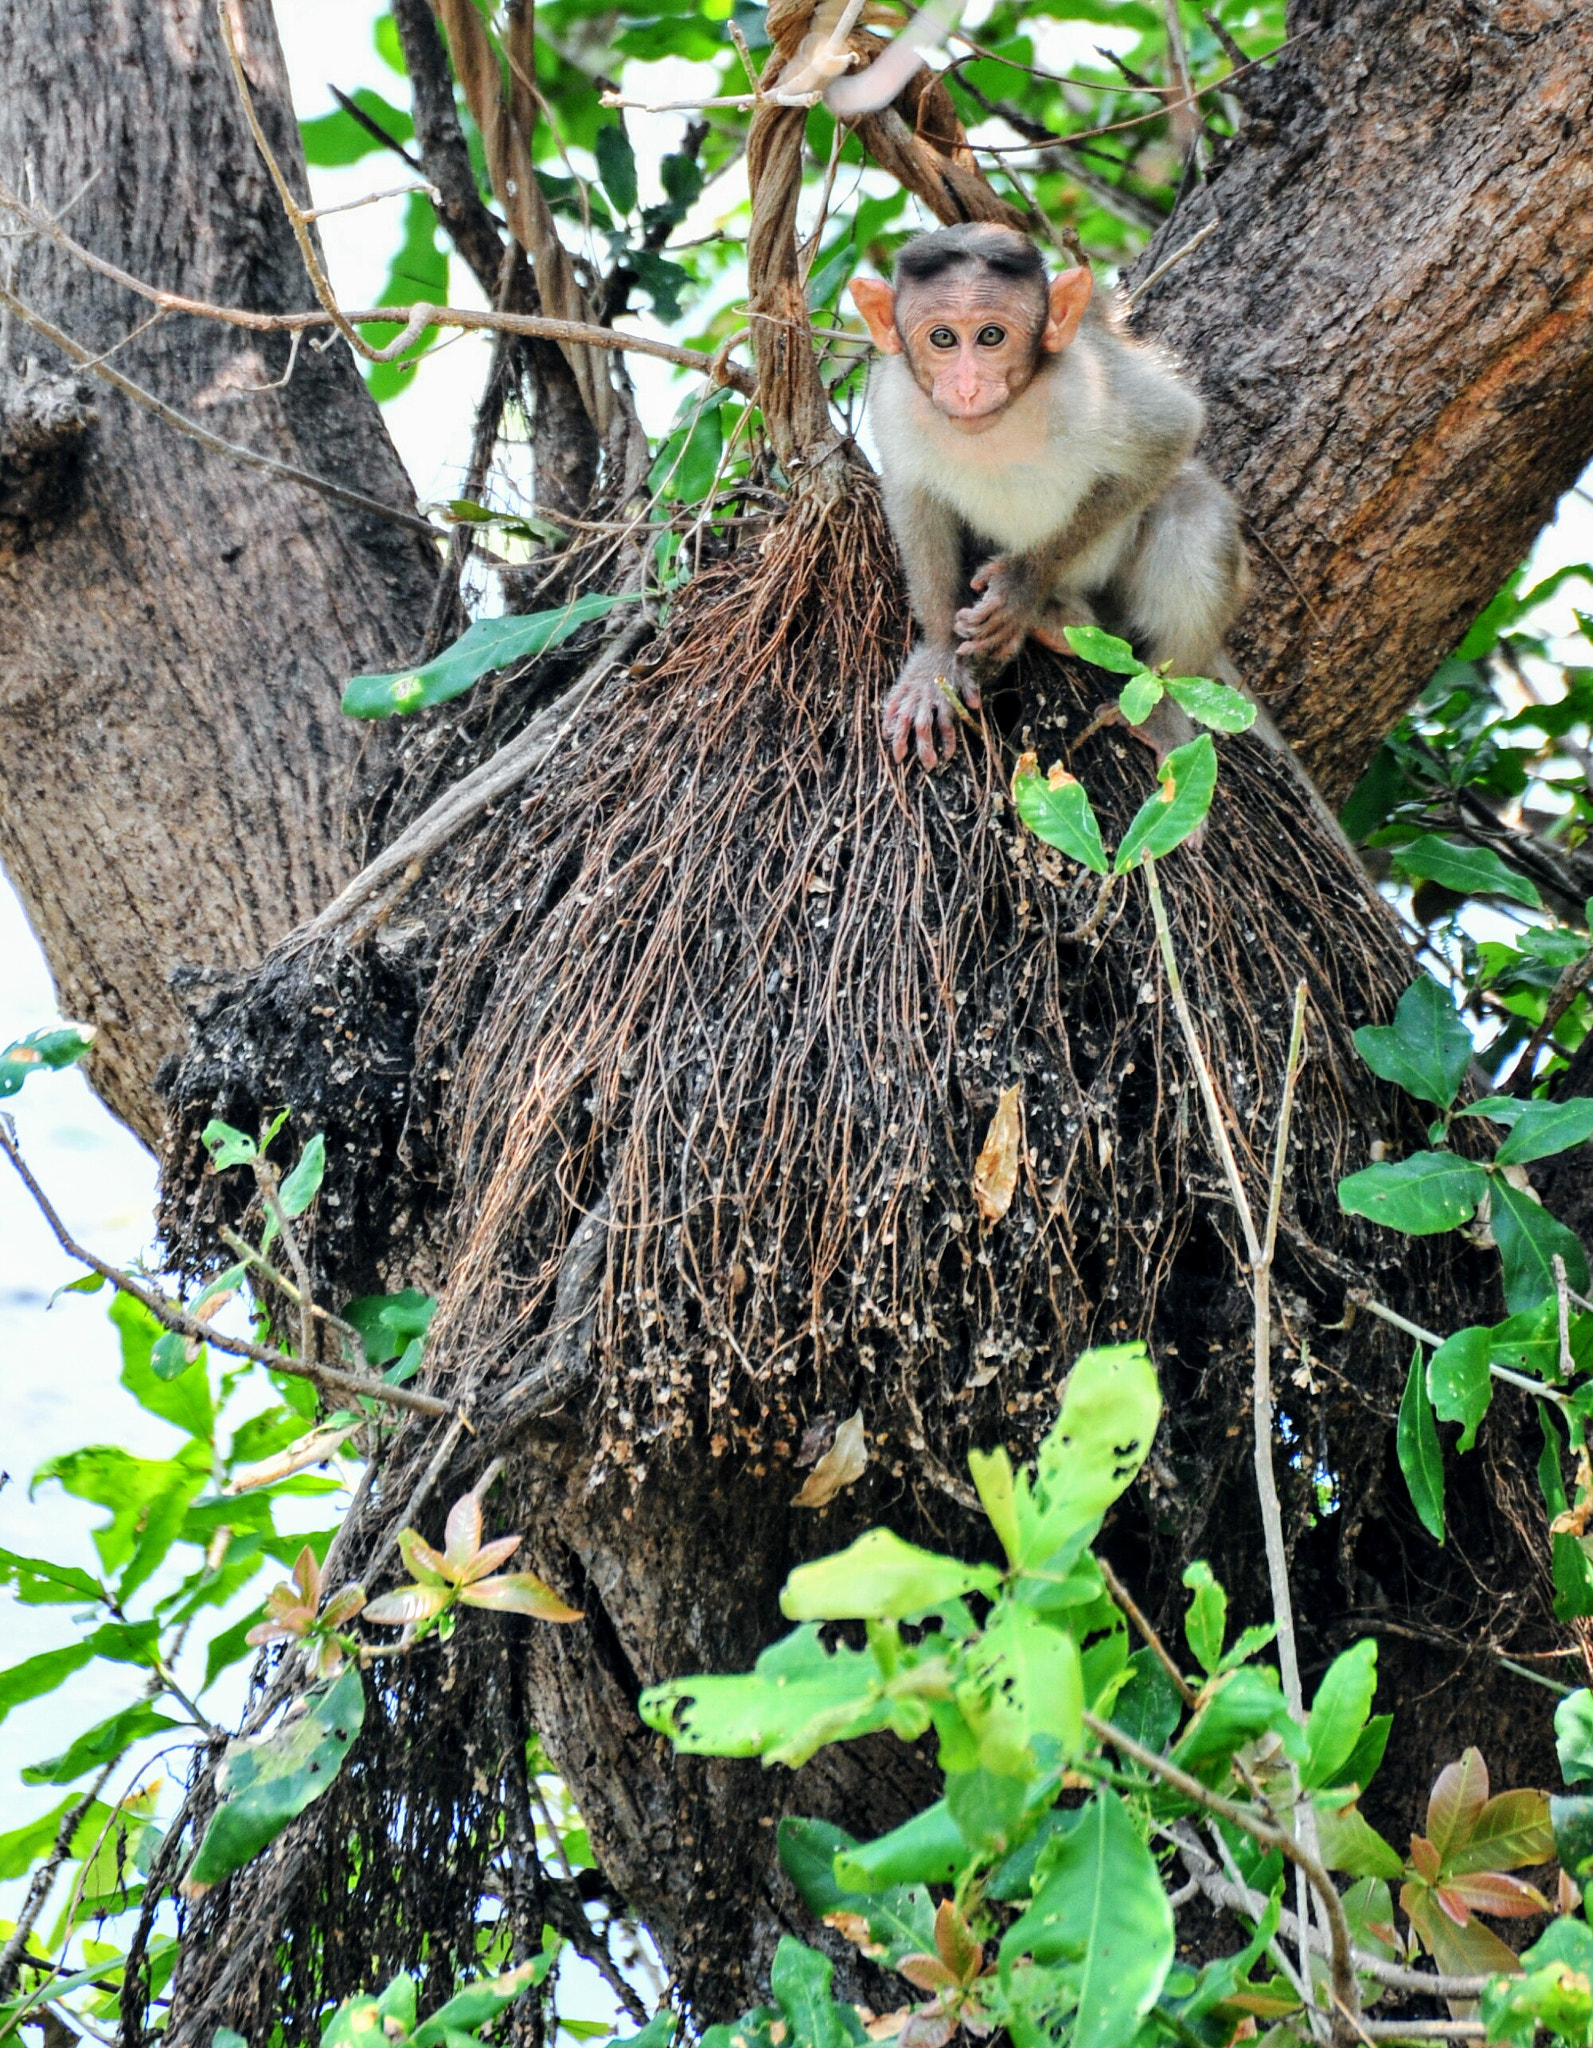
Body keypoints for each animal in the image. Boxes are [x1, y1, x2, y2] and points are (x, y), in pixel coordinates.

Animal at [848, 223, 1250, 770]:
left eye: (991, 336)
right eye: (942, 338)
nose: (968, 388)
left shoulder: (1087, 379)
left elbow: (1172, 430)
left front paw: (1021, 587)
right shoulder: (895, 401)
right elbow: (913, 499)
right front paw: (937, 658)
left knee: (1190, 505)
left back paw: (1157, 700)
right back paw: (1057, 621)